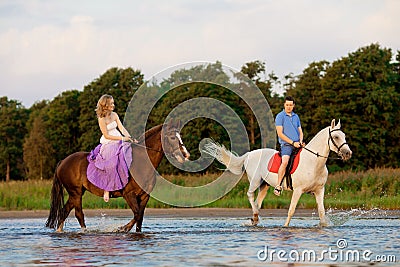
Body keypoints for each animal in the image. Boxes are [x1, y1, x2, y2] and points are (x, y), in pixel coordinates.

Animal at [46, 120, 190, 233]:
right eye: (172, 137)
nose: (186, 155)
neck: (141, 163)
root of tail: (63, 162)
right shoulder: (128, 194)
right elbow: (137, 214)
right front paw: (122, 228)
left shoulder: (144, 196)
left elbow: (140, 218)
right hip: (75, 193)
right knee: (78, 214)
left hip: (76, 193)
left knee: (64, 211)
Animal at [205, 120, 352, 227]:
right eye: (336, 137)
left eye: (344, 136)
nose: (347, 153)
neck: (313, 161)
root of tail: (248, 155)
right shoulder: (298, 190)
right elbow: (291, 210)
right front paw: (285, 227)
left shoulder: (319, 190)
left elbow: (321, 212)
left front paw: (323, 227)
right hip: (255, 181)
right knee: (250, 195)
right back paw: (255, 215)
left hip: (264, 185)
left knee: (257, 202)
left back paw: (255, 218)